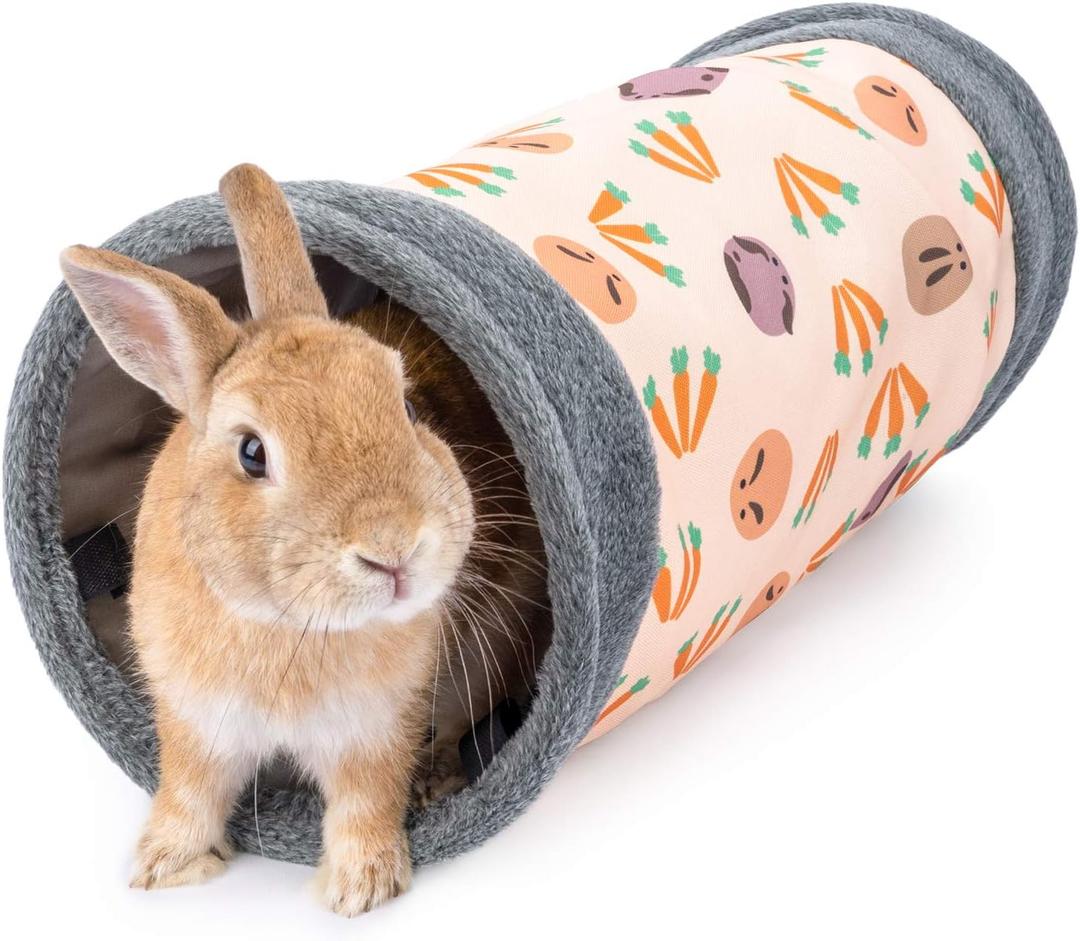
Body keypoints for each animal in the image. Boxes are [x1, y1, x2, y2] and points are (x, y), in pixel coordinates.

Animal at [58, 163, 545, 916]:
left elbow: (366, 800)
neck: (286, 624)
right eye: (252, 452)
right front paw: (163, 867)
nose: (393, 548)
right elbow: (189, 791)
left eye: (408, 407)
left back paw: (437, 780)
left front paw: (361, 888)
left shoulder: (376, 726)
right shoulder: (194, 721)